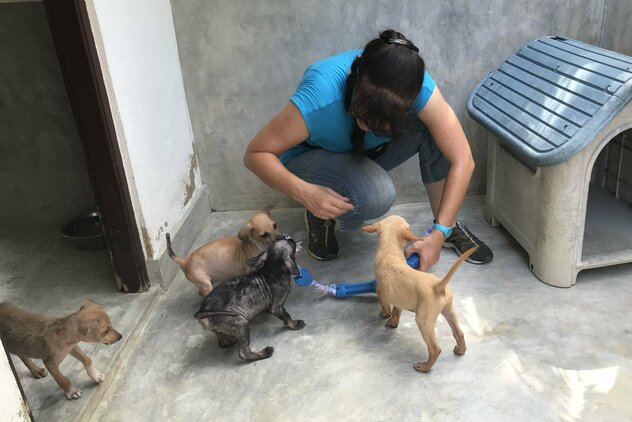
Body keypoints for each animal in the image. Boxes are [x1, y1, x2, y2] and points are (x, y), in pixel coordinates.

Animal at [196, 234, 308, 362]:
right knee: (243, 353)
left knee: (221, 340)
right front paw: (294, 324)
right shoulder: (277, 307)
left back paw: (229, 340)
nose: (289, 238)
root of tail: (203, 312)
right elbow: (286, 316)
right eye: (292, 244)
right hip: (241, 322)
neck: (271, 270)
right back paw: (263, 353)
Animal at [362, 216, 476, 374]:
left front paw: (384, 315)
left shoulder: (381, 291)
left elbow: (386, 307)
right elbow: (397, 310)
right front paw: (393, 322)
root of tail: (437, 286)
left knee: (435, 349)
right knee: (459, 333)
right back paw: (461, 350)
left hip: (423, 322)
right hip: (449, 311)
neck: (389, 249)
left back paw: (424, 367)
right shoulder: (398, 298)